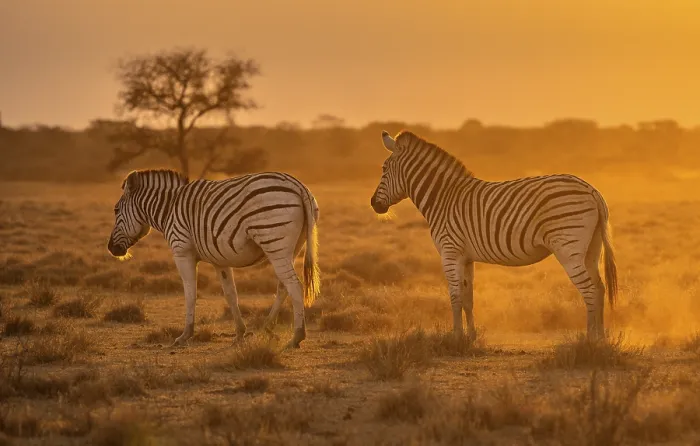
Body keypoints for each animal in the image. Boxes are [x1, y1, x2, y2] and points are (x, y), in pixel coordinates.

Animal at [106, 169, 320, 349]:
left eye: (116, 210)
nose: (111, 249)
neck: (169, 209)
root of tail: (298, 185)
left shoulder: (182, 251)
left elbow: (190, 294)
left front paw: (185, 335)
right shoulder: (220, 260)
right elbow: (231, 294)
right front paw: (240, 334)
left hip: (274, 242)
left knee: (294, 285)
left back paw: (297, 337)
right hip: (292, 247)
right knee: (283, 286)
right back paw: (267, 327)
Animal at [370, 130, 618, 341]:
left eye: (383, 169)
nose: (374, 204)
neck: (443, 198)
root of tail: (592, 191)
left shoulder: (450, 252)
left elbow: (455, 297)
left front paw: (455, 339)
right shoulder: (466, 257)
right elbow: (468, 298)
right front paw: (470, 337)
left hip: (568, 246)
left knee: (589, 291)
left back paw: (589, 341)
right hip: (591, 248)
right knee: (599, 288)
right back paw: (601, 340)